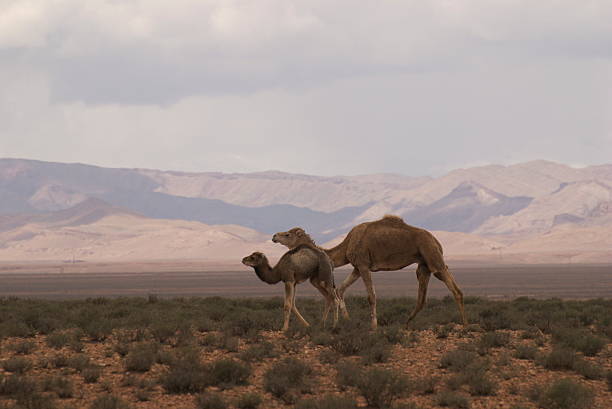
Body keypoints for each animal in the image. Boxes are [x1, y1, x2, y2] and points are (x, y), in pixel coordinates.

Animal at [270, 215, 466, 330]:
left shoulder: (364, 265)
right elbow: (340, 289)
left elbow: (371, 296)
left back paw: (464, 323)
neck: (347, 244)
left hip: (432, 257)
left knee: (454, 288)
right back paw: (407, 322)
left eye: (288, 234)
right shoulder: (357, 267)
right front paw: (346, 320)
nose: (274, 236)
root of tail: (436, 240)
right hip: (423, 265)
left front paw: (373, 326)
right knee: (422, 296)